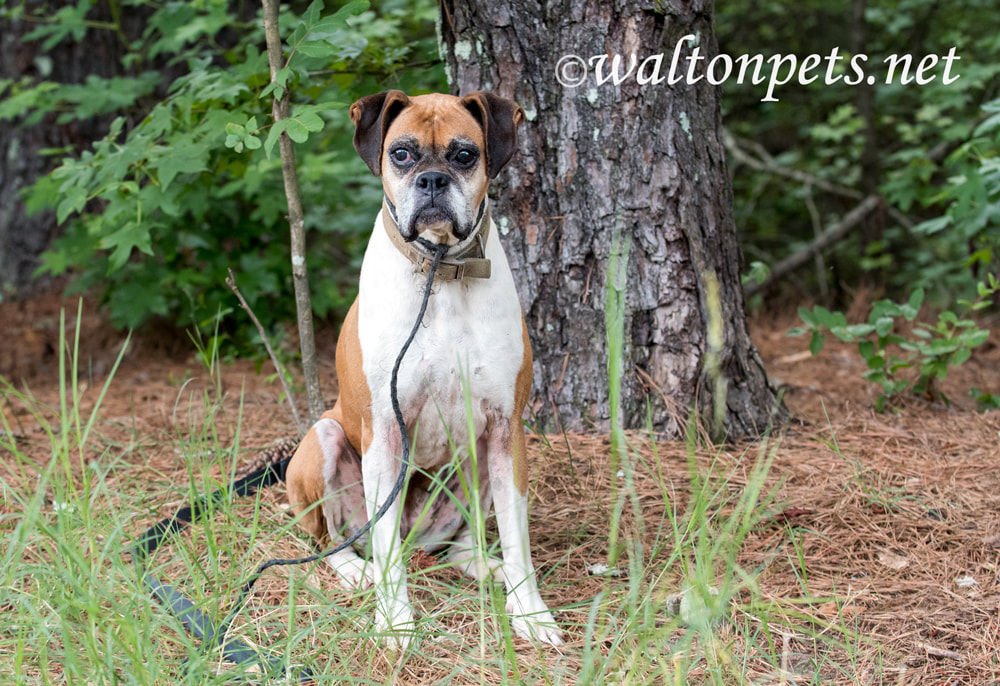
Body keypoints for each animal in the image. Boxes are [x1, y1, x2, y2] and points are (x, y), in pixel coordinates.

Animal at [286, 90, 564, 652]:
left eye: (464, 155)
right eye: (402, 154)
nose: (432, 180)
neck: (443, 272)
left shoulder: (506, 429)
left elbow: (517, 535)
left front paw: (529, 611)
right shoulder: (385, 432)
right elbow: (386, 546)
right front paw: (395, 621)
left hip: (475, 464)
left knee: (463, 539)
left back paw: (484, 565)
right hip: (324, 440)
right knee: (335, 539)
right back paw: (358, 571)